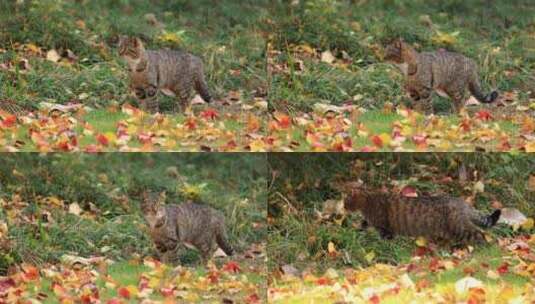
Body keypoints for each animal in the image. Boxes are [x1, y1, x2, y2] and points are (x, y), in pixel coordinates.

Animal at [344, 186, 502, 246]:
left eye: (346, 202)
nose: (344, 208)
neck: (368, 201)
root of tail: (461, 202)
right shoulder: (370, 222)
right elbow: (363, 224)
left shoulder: (385, 228)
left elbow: (386, 238)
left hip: (459, 228)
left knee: (480, 234)